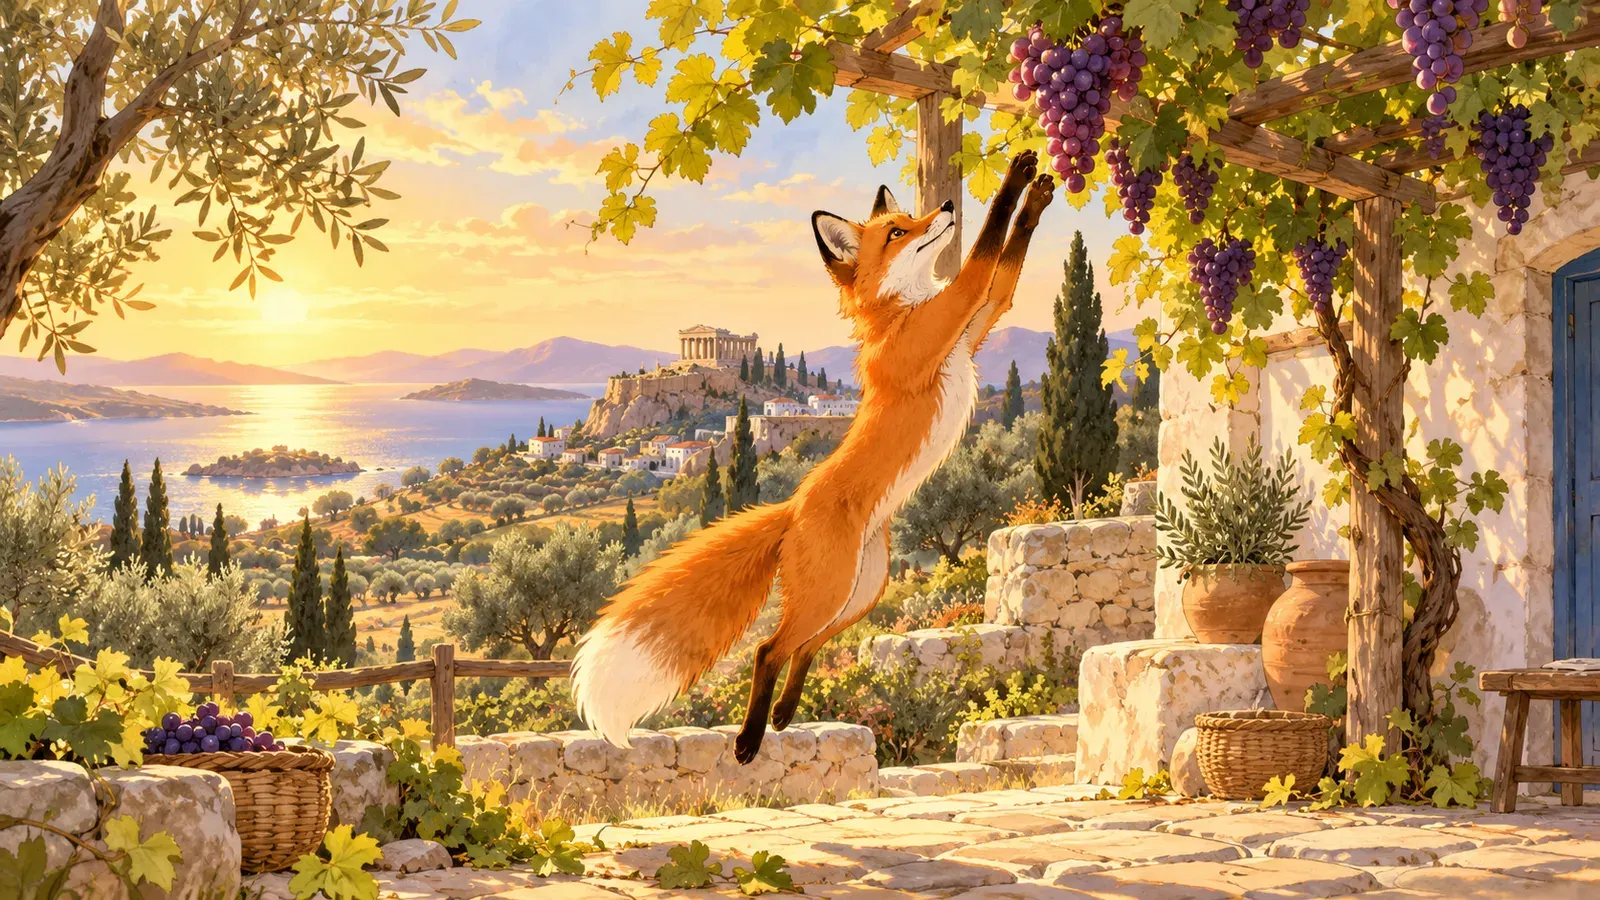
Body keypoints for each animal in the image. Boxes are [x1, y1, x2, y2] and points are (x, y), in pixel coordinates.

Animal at [572, 151, 1056, 762]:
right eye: (898, 232)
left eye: (910, 216)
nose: (946, 206)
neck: (899, 313)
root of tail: (793, 506)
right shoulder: (945, 320)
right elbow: (986, 250)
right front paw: (1015, 181)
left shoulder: (974, 323)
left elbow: (1007, 265)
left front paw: (1035, 198)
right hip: (832, 589)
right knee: (770, 650)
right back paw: (750, 739)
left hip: (859, 592)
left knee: (807, 645)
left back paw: (783, 714)